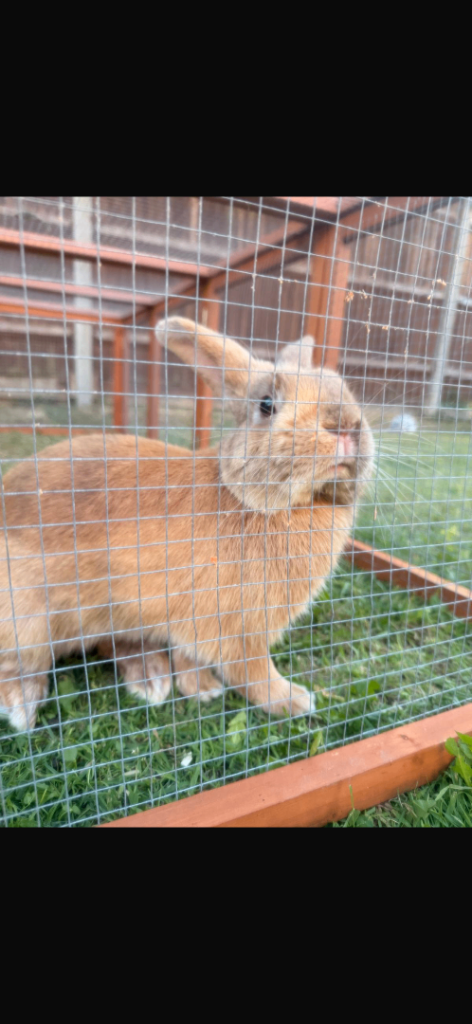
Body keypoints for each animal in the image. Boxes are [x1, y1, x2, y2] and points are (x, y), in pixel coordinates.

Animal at [0, 316, 374, 732]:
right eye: (267, 404)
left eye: (342, 386)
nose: (346, 426)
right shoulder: (235, 627)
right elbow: (253, 671)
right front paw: (292, 700)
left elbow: (190, 657)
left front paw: (201, 689)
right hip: (30, 620)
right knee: (21, 662)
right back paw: (22, 705)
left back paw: (150, 678)